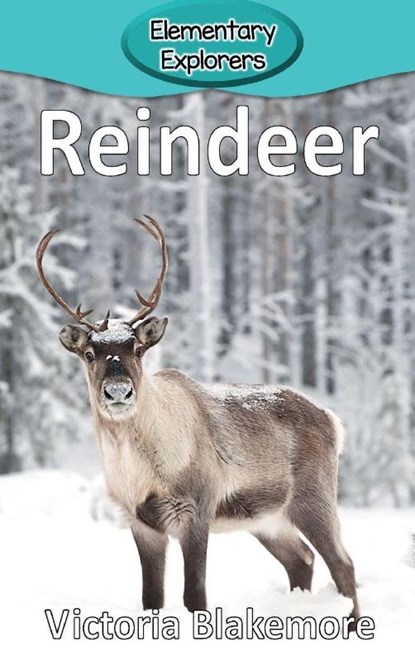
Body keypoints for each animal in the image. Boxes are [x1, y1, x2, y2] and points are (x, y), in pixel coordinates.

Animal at [36, 216, 360, 625]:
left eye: (137, 349)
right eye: (89, 354)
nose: (118, 392)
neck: (140, 472)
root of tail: (332, 420)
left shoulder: (196, 509)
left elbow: (195, 595)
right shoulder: (141, 522)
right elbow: (151, 597)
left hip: (314, 498)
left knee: (342, 563)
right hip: (267, 520)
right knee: (301, 560)